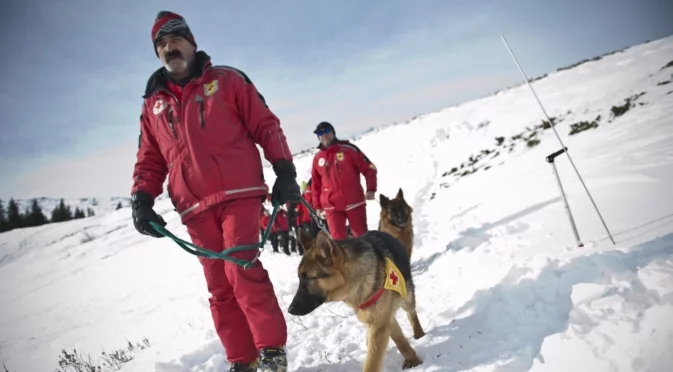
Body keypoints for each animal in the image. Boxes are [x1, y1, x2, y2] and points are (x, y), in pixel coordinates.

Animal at [288, 228, 426, 370]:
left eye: (309, 279)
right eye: (300, 278)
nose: (290, 310)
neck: (359, 281)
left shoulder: (379, 324)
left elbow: (372, 363)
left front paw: (413, 360)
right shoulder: (380, 320)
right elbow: (399, 338)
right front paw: (411, 357)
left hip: (406, 297)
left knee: (411, 312)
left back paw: (419, 333)